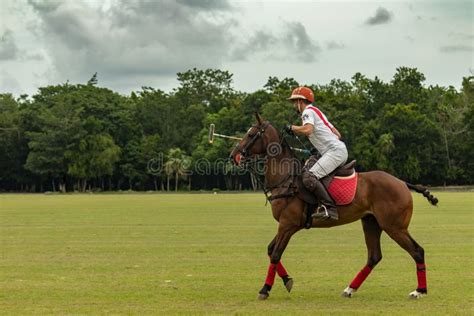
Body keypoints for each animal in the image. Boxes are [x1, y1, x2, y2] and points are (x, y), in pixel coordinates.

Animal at [228, 113, 438, 302]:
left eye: (251, 134)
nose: (233, 156)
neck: (286, 179)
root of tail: (403, 183)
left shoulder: (288, 224)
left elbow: (275, 254)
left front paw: (265, 289)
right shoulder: (287, 225)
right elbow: (271, 250)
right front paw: (287, 280)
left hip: (394, 226)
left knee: (417, 251)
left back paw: (419, 291)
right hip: (371, 222)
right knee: (374, 256)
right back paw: (349, 289)